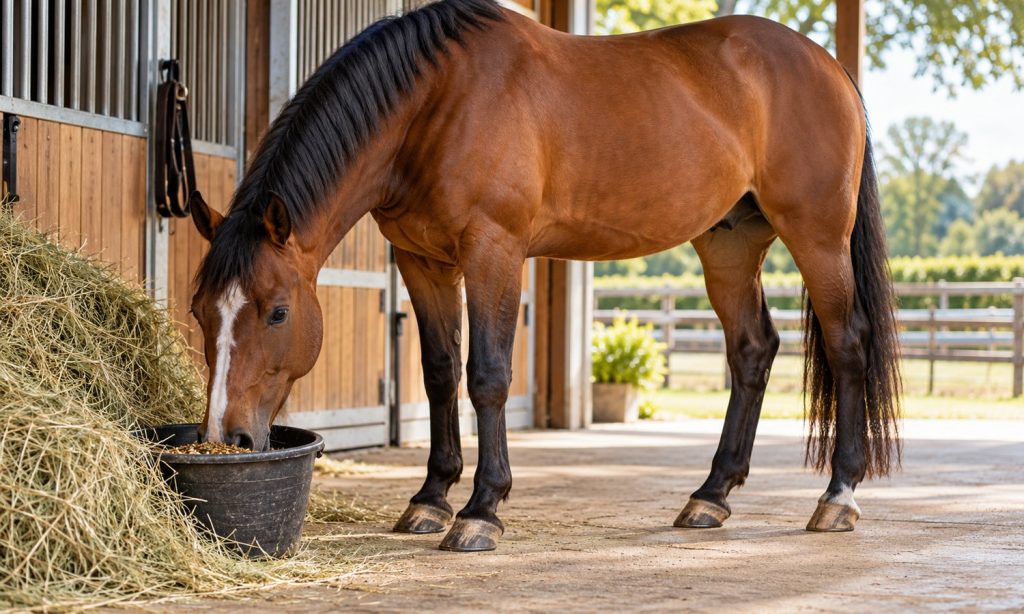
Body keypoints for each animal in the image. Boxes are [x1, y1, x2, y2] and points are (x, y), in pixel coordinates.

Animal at [187, 0, 900, 552]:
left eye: (278, 312)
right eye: (199, 311)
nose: (228, 437)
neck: (436, 102)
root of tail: (829, 66)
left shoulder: (493, 252)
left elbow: (488, 377)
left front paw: (480, 510)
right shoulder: (423, 261)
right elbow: (440, 375)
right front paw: (430, 499)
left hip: (816, 236)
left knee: (847, 345)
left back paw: (838, 497)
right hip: (728, 244)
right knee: (753, 350)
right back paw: (710, 496)